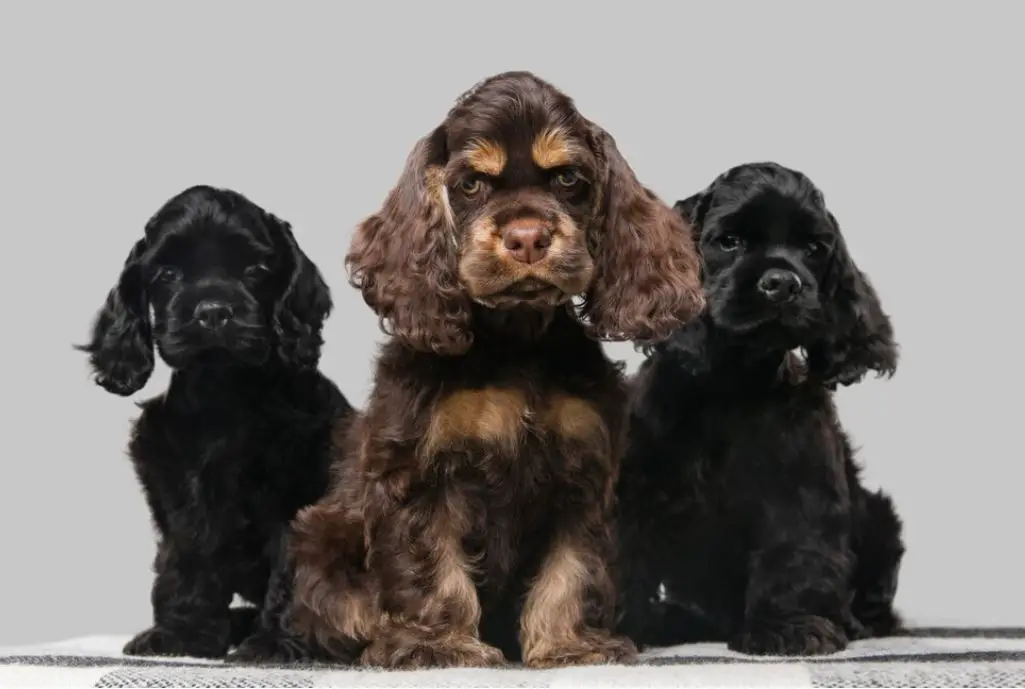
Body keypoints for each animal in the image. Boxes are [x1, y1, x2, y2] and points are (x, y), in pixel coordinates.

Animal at [77, 184, 354, 660]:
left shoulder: (298, 495)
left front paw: (278, 642)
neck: (225, 393)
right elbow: (186, 562)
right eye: (166, 273)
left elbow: (292, 567)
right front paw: (181, 636)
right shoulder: (183, 491)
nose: (211, 311)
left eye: (256, 269)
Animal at [289, 69, 705, 668]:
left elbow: (572, 569)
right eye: (470, 185)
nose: (527, 237)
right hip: (323, 543)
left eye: (568, 178)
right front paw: (435, 644)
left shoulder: (583, 475)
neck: (516, 344)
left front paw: (569, 646)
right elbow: (430, 566)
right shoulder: (419, 472)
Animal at [610, 161, 902, 656]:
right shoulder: (637, 487)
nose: (783, 284)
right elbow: (619, 558)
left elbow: (792, 558)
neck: (730, 383)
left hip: (881, 518)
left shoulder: (798, 491)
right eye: (729, 242)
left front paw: (787, 626)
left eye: (813, 248)